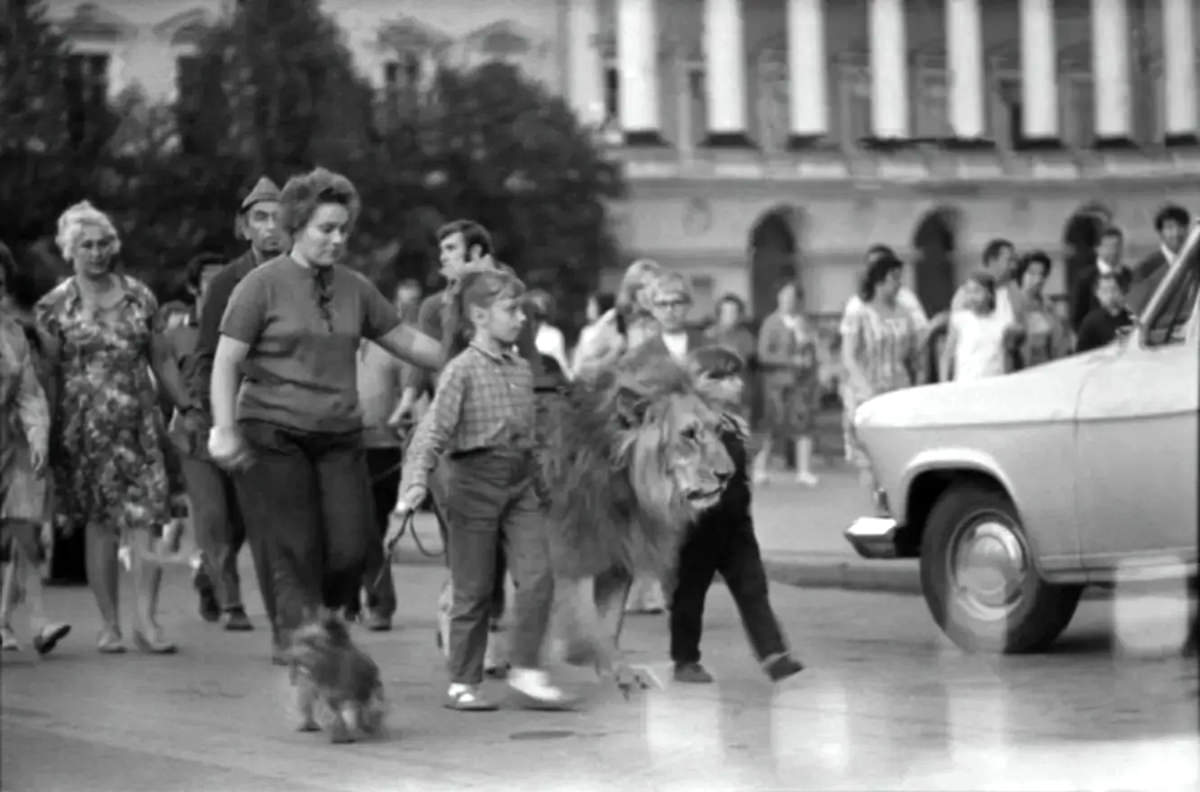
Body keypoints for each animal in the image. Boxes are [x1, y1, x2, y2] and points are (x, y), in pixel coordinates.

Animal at [286, 612, 388, 744]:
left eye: (312, 644)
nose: (292, 657)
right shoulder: (332, 695)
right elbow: (339, 716)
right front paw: (343, 734)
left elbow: (366, 709)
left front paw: (367, 725)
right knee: (309, 704)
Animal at [542, 348, 729, 691]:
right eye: (689, 435)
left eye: (719, 430)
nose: (728, 475)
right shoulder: (573, 551)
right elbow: (584, 616)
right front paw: (578, 654)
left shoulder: (618, 559)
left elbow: (608, 622)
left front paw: (617, 672)